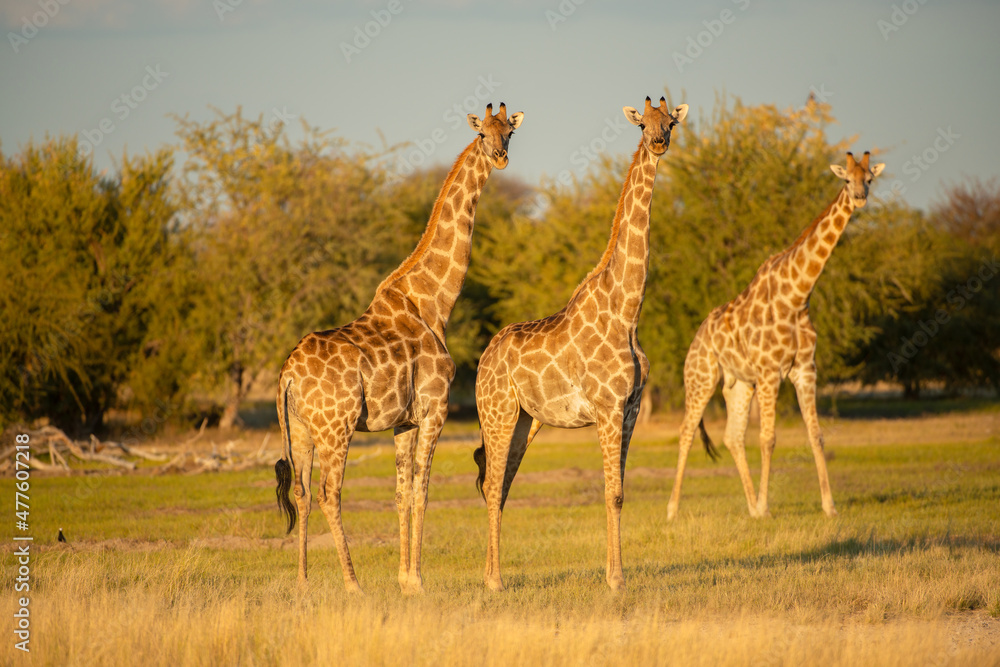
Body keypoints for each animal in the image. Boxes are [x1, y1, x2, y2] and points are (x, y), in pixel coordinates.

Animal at [274, 103, 523, 594]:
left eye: (510, 132)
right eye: (482, 134)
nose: (501, 157)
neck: (434, 303)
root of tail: (287, 375)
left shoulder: (403, 421)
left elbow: (401, 492)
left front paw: (405, 578)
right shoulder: (434, 410)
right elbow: (423, 491)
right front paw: (419, 580)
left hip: (301, 429)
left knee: (302, 492)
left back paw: (303, 581)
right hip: (336, 428)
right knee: (330, 493)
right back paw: (352, 583)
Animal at [473, 96, 688, 591]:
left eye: (671, 122)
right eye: (643, 125)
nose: (659, 143)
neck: (627, 312)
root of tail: (482, 360)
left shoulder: (629, 410)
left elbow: (620, 493)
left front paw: (616, 574)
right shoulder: (607, 408)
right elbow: (611, 494)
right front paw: (615, 579)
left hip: (525, 421)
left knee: (501, 485)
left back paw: (494, 576)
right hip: (497, 413)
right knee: (491, 484)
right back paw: (493, 581)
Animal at [667, 151, 885, 520]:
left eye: (869, 179)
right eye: (846, 180)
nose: (859, 198)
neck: (797, 296)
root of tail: (695, 340)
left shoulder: (805, 370)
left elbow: (816, 435)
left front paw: (829, 507)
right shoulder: (770, 372)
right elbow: (768, 439)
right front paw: (768, 507)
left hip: (739, 384)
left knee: (732, 437)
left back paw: (751, 507)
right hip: (701, 379)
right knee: (686, 432)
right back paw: (672, 510)